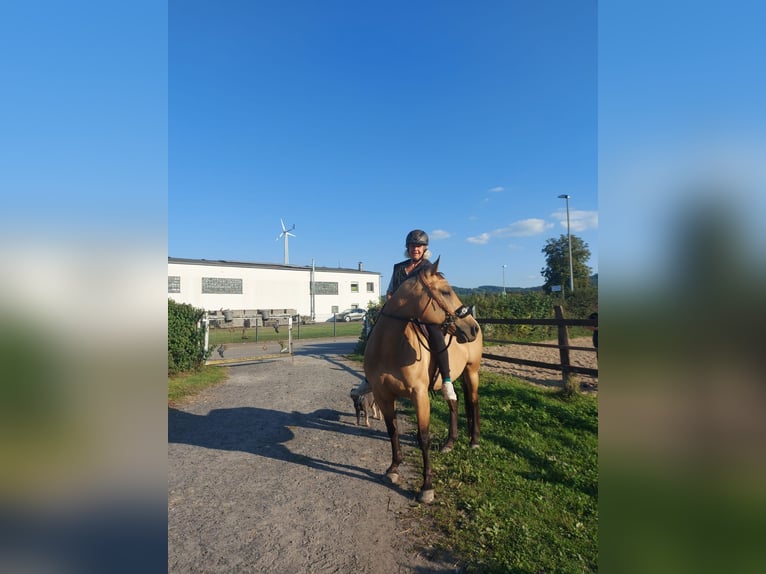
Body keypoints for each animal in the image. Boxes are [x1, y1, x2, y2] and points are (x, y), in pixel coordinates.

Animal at [364, 258, 484, 504]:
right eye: (446, 291)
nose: (473, 329)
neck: (389, 348)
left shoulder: (418, 394)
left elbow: (423, 437)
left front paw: (427, 486)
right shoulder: (383, 395)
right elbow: (392, 430)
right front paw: (393, 469)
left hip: (472, 372)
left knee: (474, 402)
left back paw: (474, 441)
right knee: (455, 402)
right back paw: (450, 443)